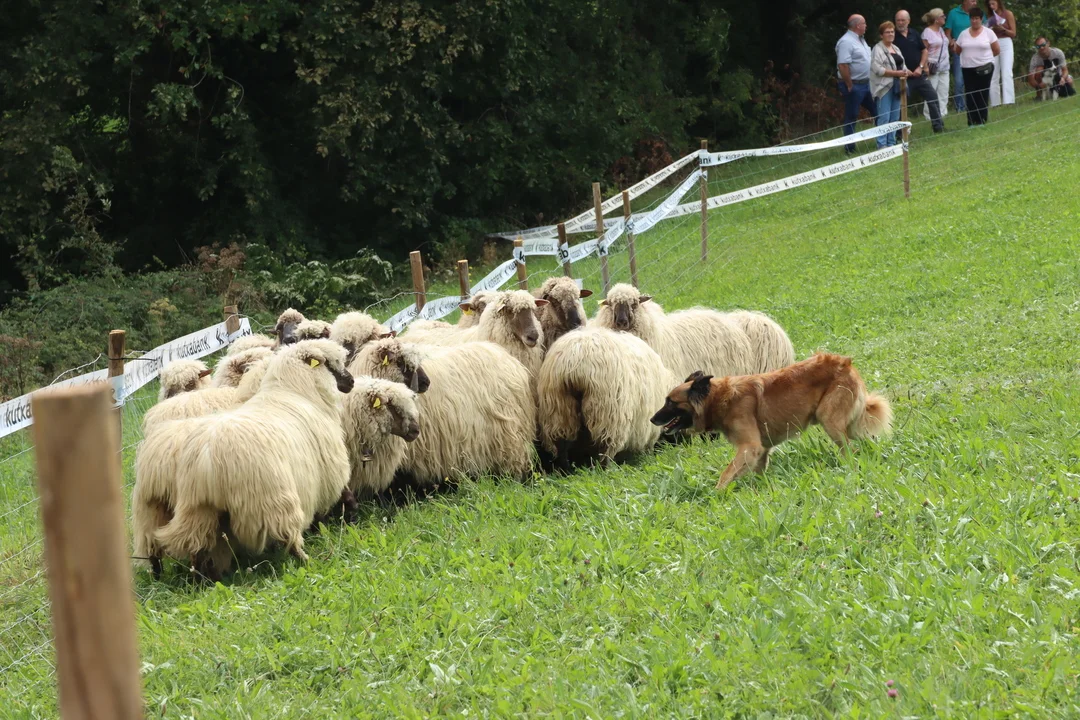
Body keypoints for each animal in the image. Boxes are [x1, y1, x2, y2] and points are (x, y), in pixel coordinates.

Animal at [132, 339, 354, 580]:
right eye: (332, 363)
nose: (351, 382)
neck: (295, 392)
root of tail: (207, 457)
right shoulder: (322, 475)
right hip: (270, 499)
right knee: (287, 534)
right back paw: (304, 560)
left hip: (185, 510)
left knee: (185, 547)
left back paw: (193, 579)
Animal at [537, 327, 677, 467]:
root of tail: (575, 364)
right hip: (607, 412)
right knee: (605, 446)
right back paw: (605, 467)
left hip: (559, 408)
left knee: (561, 443)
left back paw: (565, 468)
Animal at [650, 353, 892, 490]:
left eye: (670, 402)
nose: (652, 419)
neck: (719, 398)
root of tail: (845, 363)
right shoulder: (761, 450)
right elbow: (758, 473)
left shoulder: (750, 447)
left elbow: (726, 474)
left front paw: (715, 494)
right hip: (846, 424)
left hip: (830, 421)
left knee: (850, 450)